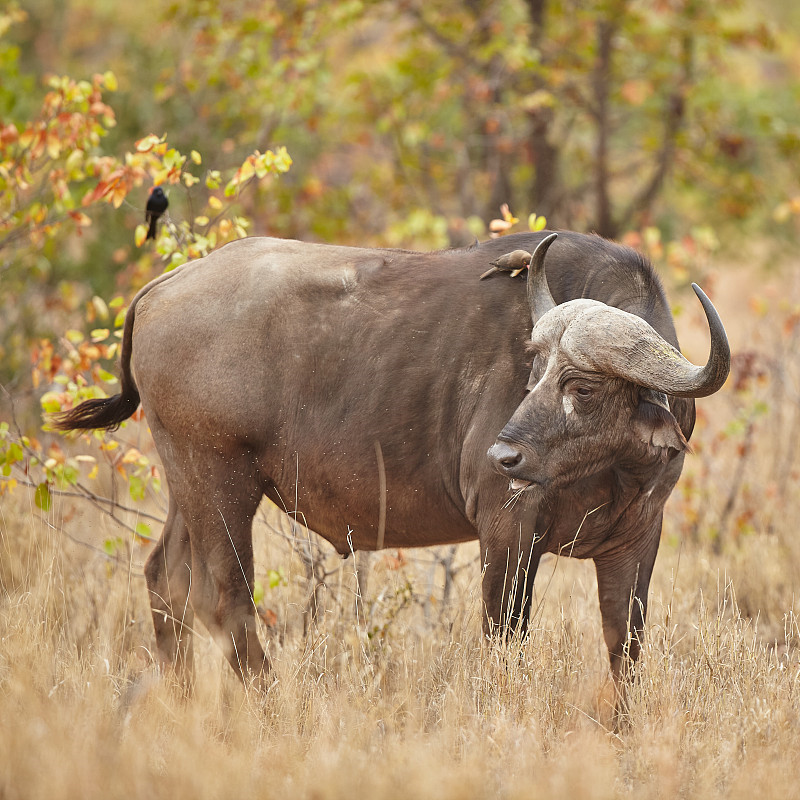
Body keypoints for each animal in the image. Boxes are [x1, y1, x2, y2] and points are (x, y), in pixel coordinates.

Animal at [53, 228, 732, 692]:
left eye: (582, 386)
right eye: (535, 369)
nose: (503, 453)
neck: (607, 473)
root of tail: (160, 289)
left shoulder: (637, 541)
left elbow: (625, 648)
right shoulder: (507, 533)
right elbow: (504, 637)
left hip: (186, 483)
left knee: (165, 578)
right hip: (220, 482)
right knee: (225, 598)